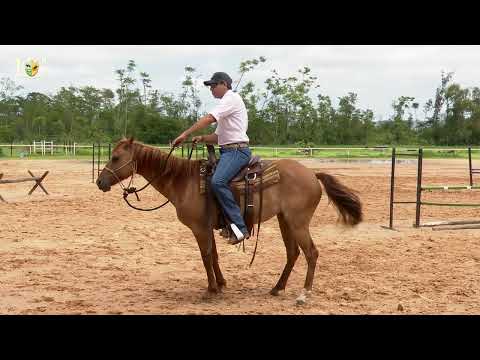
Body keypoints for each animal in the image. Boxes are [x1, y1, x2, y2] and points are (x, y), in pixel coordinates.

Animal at [95, 138, 362, 304]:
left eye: (116, 157)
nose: (100, 182)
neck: (183, 181)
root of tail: (312, 174)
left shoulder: (199, 229)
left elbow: (205, 256)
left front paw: (211, 290)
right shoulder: (207, 228)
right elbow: (213, 255)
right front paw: (221, 284)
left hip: (298, 222)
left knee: (311, 253)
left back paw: (303, 295)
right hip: (285, 220)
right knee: (293, 253)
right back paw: (277, 288)